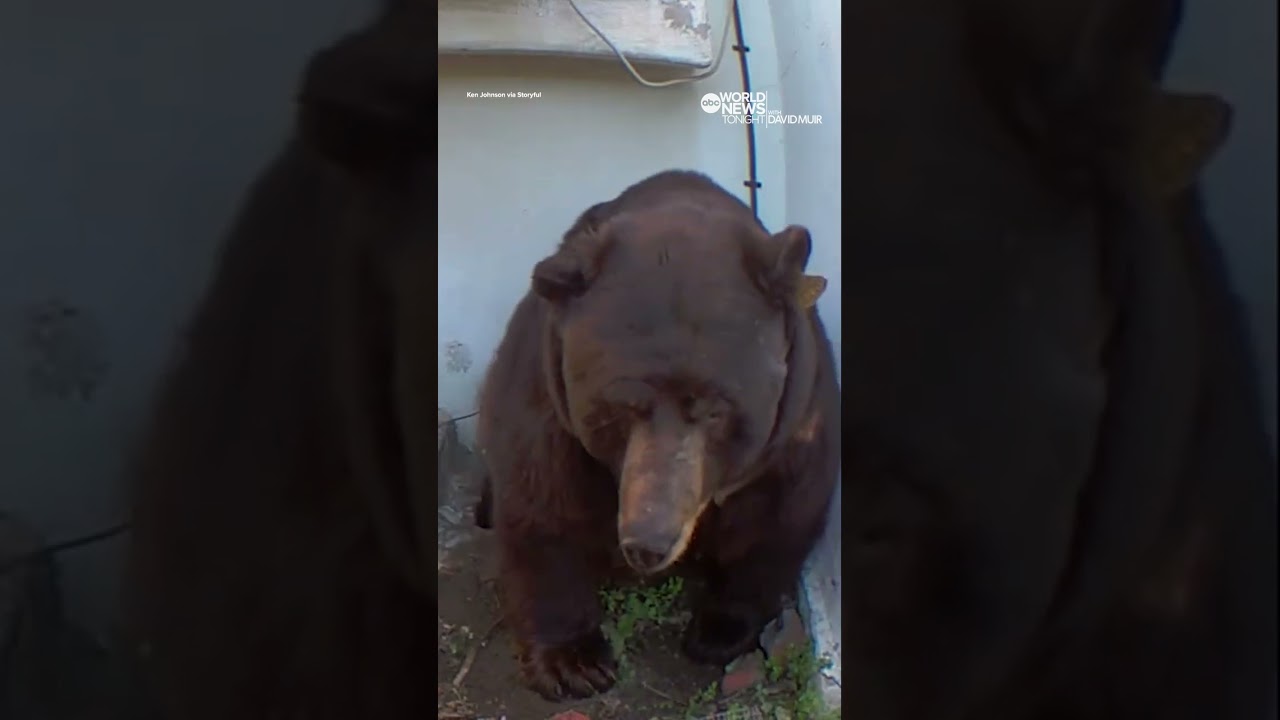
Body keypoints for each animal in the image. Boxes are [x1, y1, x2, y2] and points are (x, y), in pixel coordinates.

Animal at [475, 170, 841, 701]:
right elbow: (542, 512)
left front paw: (720, 630)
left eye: (716, 409)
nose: (649, 542)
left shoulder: (795, 422)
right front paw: (575, 662)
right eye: (621, 407)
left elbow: (780, 517)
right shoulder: (548, 407)